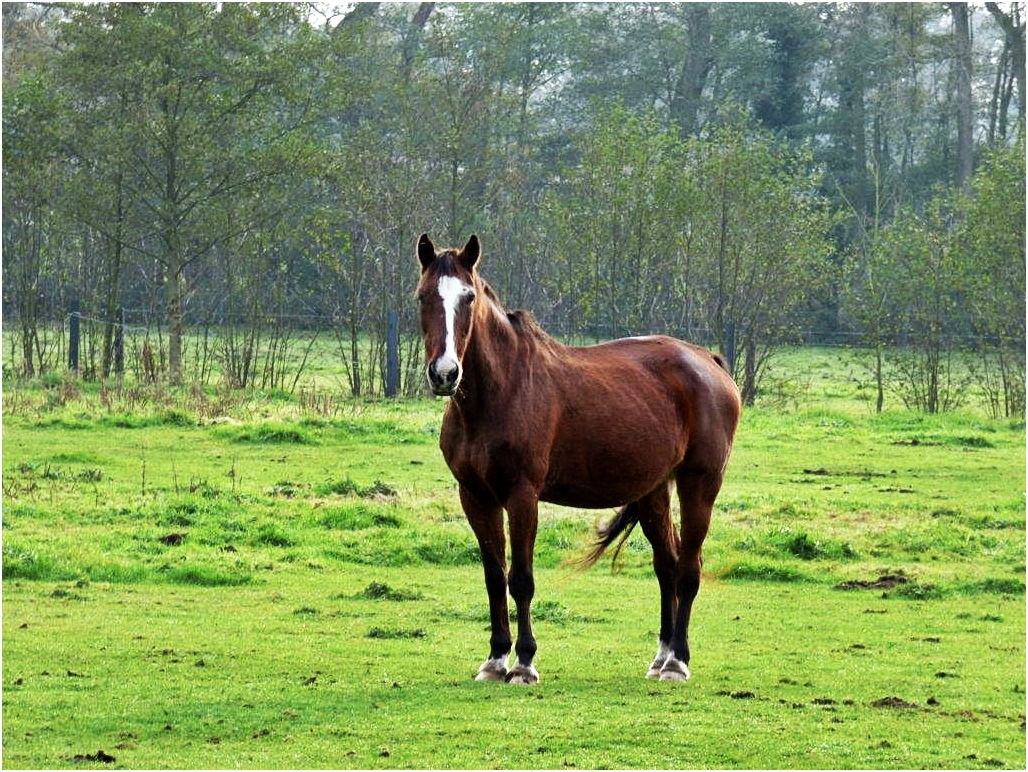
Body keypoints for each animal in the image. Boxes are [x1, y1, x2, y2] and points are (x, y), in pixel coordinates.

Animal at [413, 234, 744, 682]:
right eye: (424, 296)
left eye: (468, 297)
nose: (445, 373)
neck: (501, 390)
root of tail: (708, 361)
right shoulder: (476, 496)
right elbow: (493, 576)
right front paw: (495, 659)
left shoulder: (522, 496)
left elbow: (521, 579)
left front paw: (524, 663)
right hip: (654, 490)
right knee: (668, 566)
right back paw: (660, 657)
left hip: (700, 484)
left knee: (689, 569)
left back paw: (677, 661)